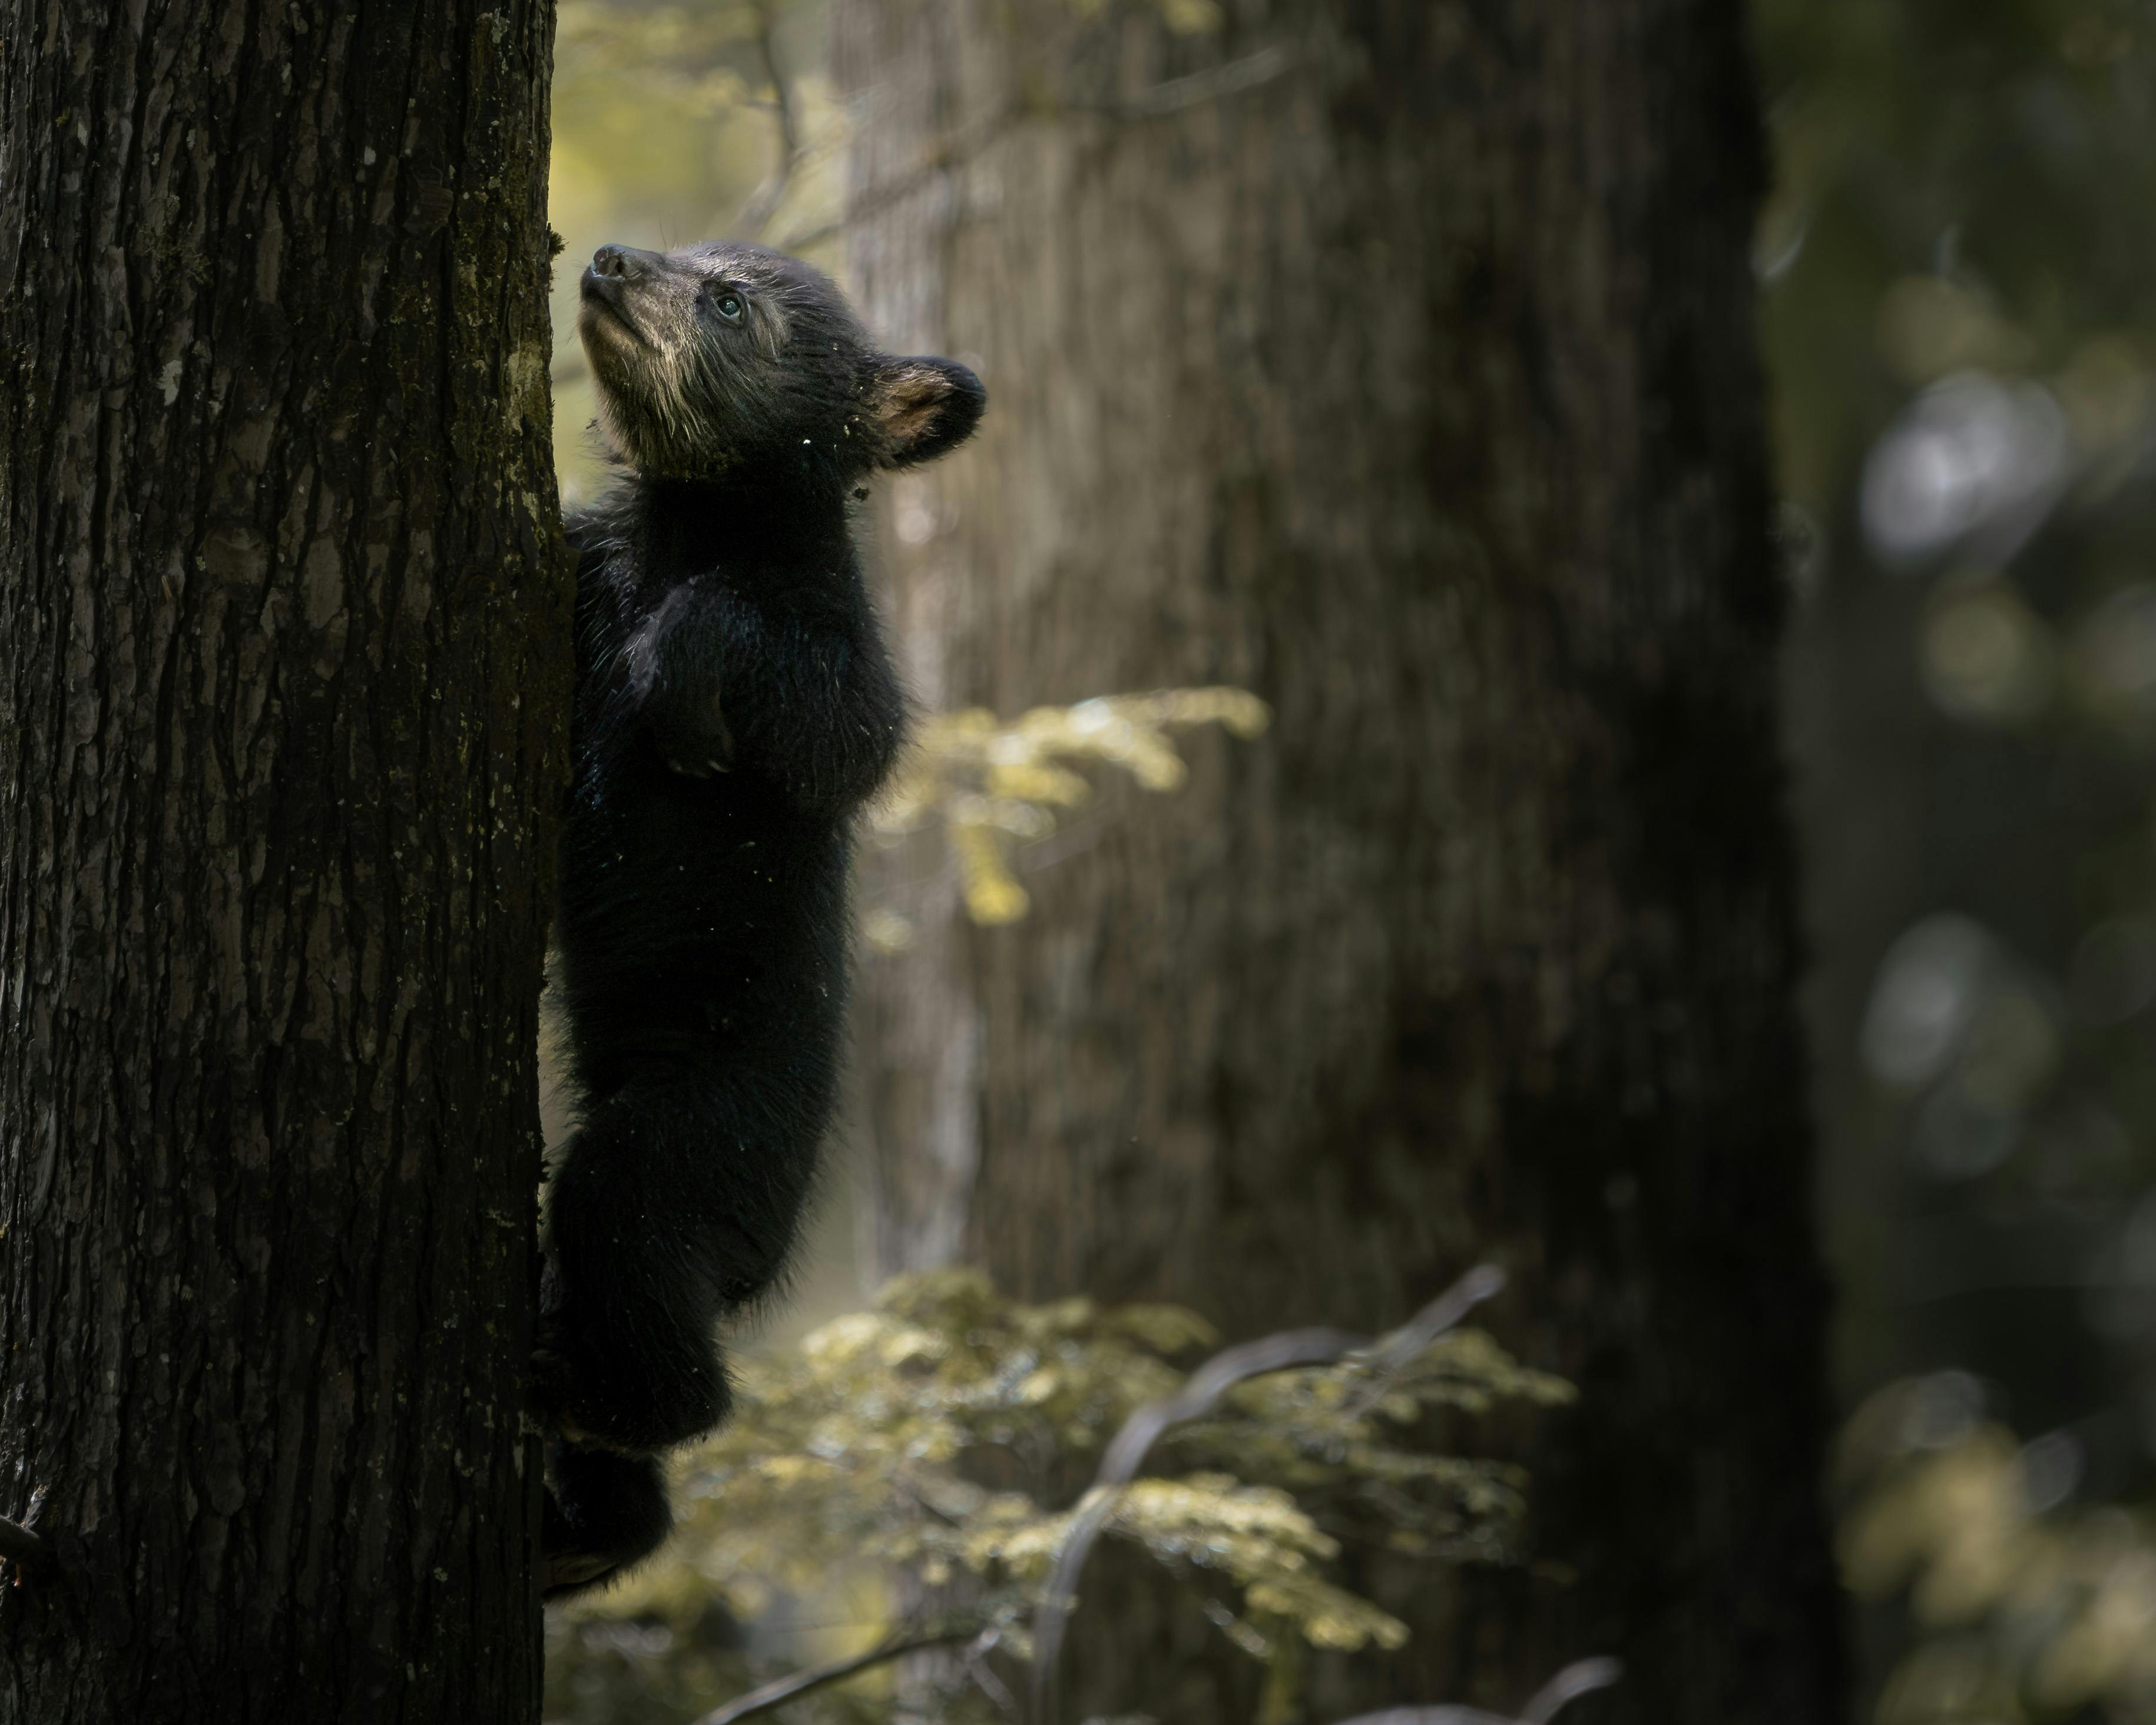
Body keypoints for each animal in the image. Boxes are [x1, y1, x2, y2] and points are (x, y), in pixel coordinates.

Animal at [534, 239, 985, 1597]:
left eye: (730, 300)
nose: (611, 256)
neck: (694, 525)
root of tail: (762, 1258)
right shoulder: (595, 562)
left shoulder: (835, 655)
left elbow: (840, 726)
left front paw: (669, 691)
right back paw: (581, 1531)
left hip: (701, 1136)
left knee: (629, 1240)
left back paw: (589, 1401)